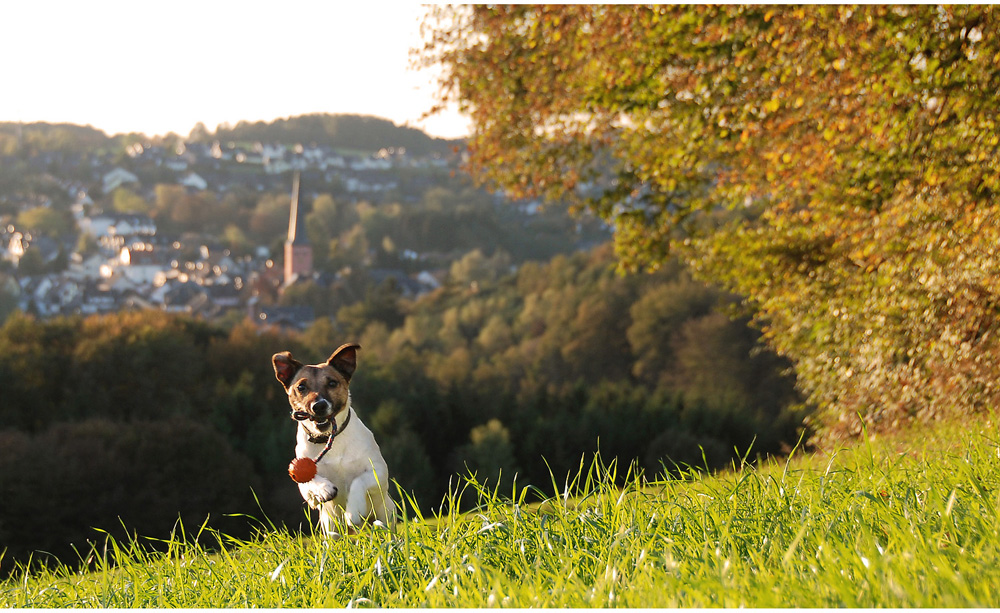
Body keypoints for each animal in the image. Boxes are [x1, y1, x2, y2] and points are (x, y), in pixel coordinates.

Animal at [274, 342, 398, 532]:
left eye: (332, 383)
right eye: (301, 387)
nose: (318, 406)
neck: (330, 439)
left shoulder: (378, 472)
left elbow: (358, 481)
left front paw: (354, 510)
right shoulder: (306, 492)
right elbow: (307, 482)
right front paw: (323, 488)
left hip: (386, 513)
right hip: (329, 525)